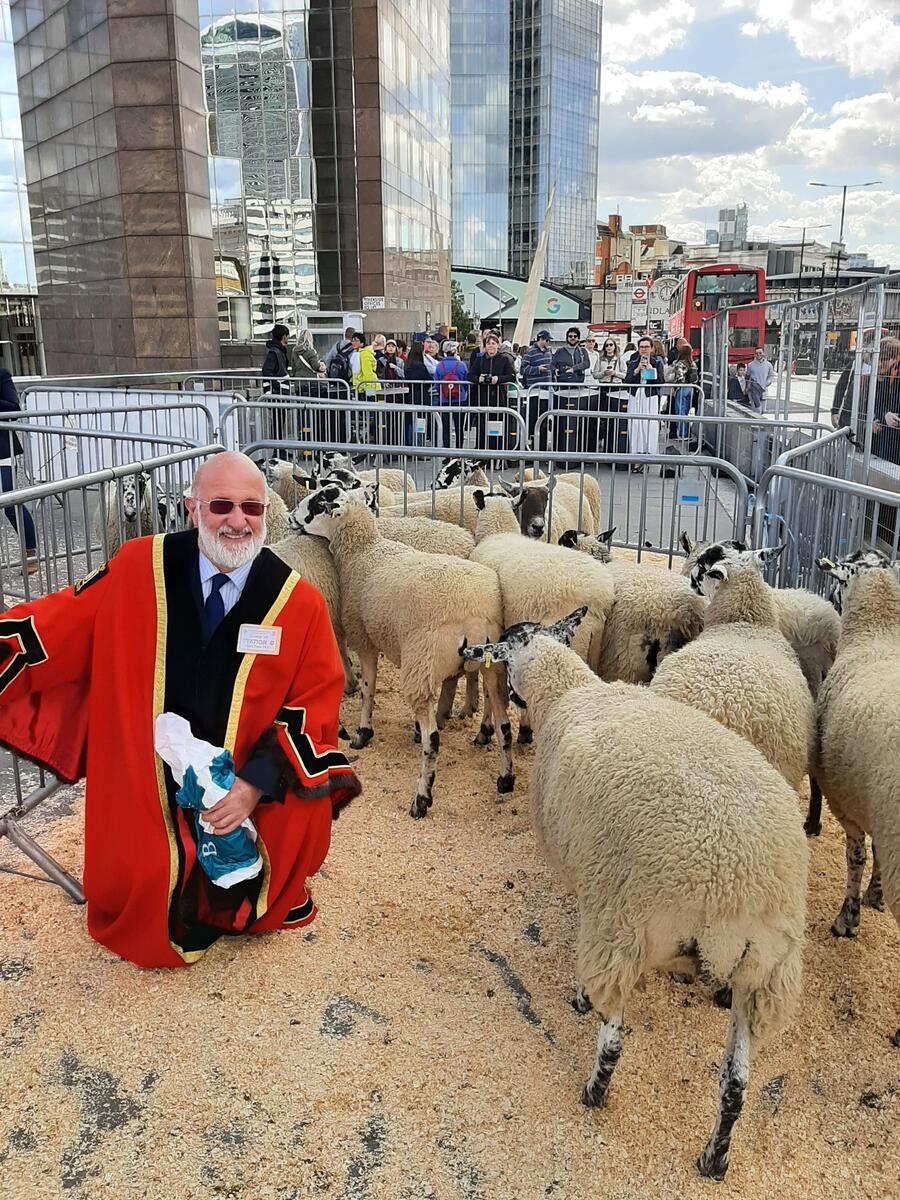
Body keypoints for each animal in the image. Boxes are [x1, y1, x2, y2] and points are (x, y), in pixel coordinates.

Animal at [460, 614, 806, 1185]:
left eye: (505, 660)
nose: (508, 694)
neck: (569, 692)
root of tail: (735, 889)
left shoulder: (590, 887)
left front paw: (578, 997)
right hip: (764, 976)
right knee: (736, 1083)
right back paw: (713, 1158)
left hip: (623, 927)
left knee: (615, 1040)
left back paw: (594, 1091)